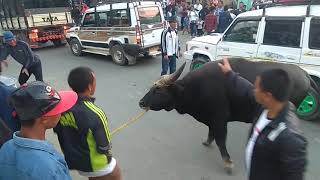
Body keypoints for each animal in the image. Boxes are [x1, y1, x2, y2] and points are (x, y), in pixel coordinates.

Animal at [139, 57, 318, 173]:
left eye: (158, 90)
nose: (141, 102)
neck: (194, 88)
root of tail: (304, 73)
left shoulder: (220, 119)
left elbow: (220, 141)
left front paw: (228, 163)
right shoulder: (212, 119)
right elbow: (211, 133)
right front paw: (207, 142)